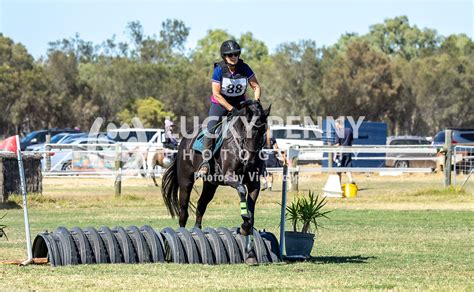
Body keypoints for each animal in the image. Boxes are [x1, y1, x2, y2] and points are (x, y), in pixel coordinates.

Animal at [162, 101, 270, 264]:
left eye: (263, 131)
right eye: (248, 130)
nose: (250, 160)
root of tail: (185, 140)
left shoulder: (254, 184)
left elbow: (251, 212)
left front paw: (250, 251)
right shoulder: (229, 176)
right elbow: (242, 191)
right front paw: (244, 224)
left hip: (210, 185)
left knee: (201, 205)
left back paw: (198, 232)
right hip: (186, 181)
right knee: (183, 212)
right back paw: (182, 234)